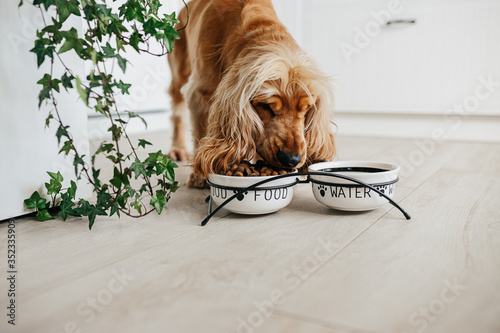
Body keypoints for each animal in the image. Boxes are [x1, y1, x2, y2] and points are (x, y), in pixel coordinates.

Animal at [167, 0, 336, 187]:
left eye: (306, 109)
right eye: (267, 106)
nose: (292, 159)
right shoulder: (200, 92)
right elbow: (200, 131)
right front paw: (200, 176)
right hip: (180, 70)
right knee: (177, 110)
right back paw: (178, 149)